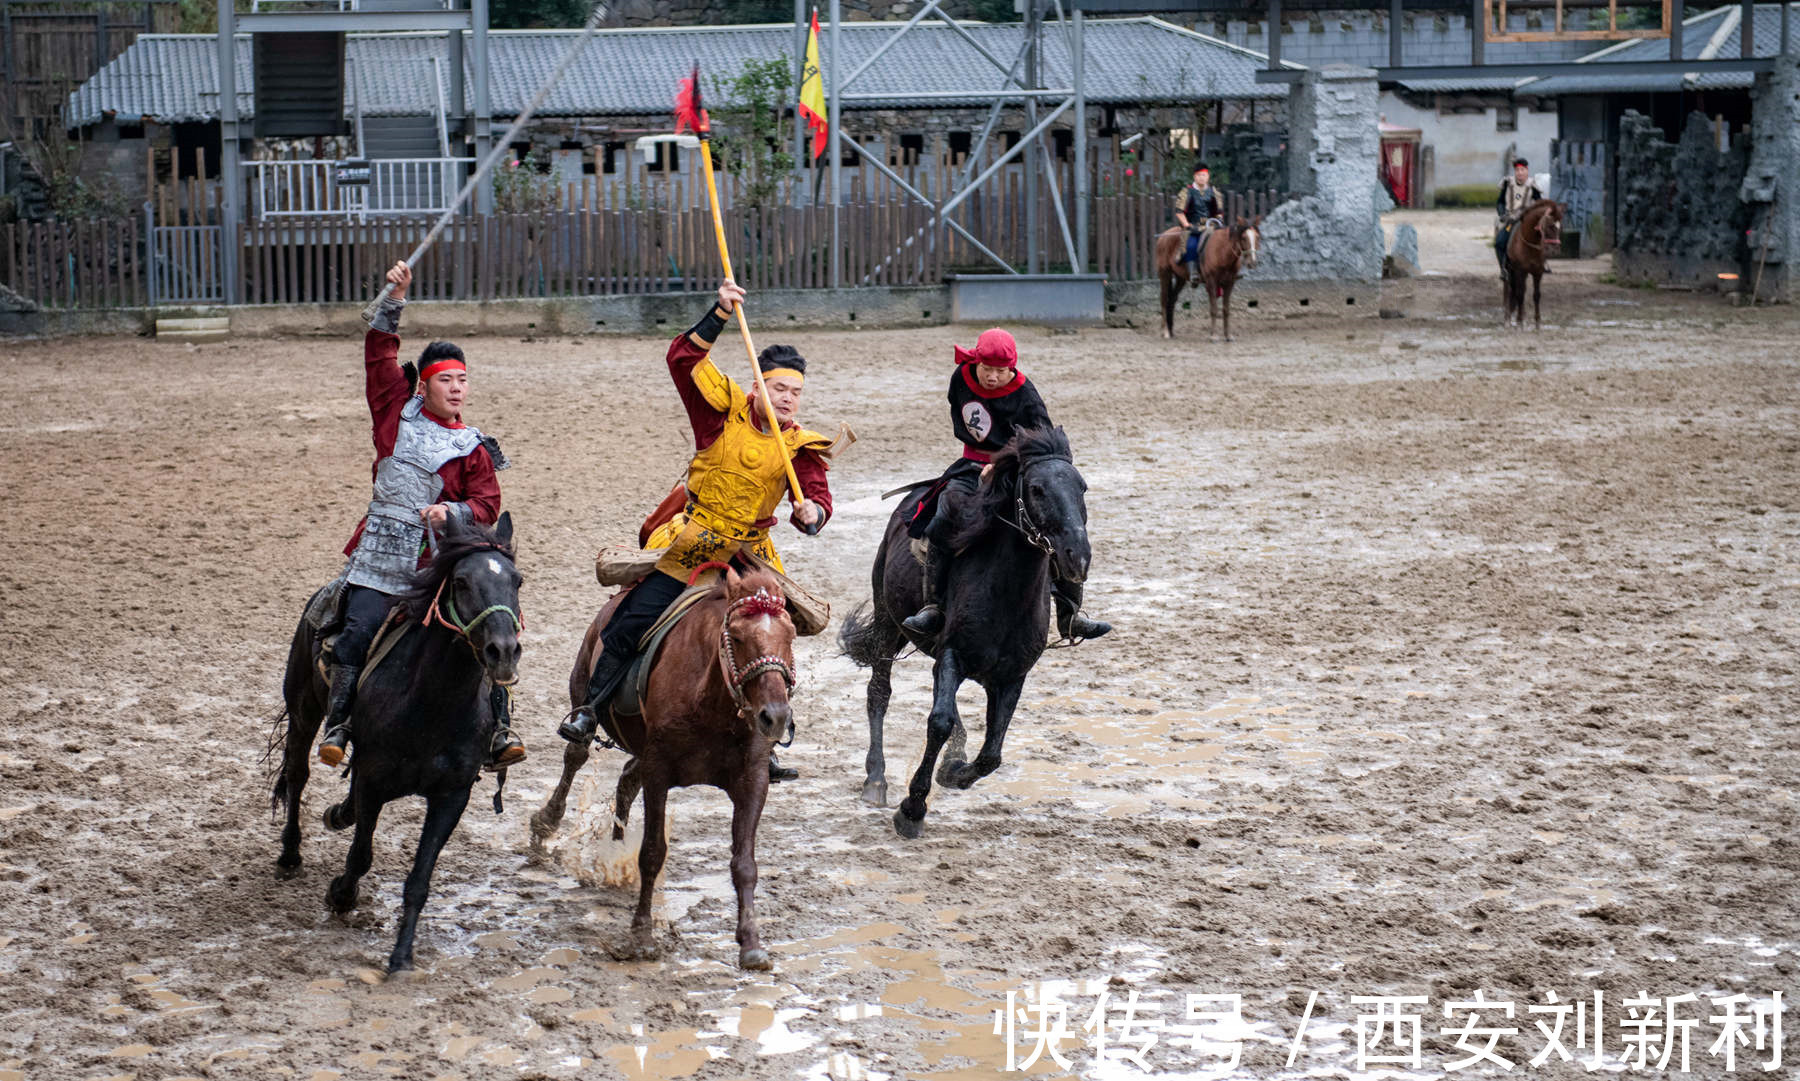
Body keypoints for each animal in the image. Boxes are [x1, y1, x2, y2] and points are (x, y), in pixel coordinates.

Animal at [266, 510, 525, 971]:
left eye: (518, 581)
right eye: (461, 581)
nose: (504, 651)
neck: (432, 704)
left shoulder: (451, 796)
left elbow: (419, 879)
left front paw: (402, 956)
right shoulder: (373, 780)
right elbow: (360, 855)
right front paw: (340, 894)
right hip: (303, 710)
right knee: (297, 774)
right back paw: (290, 855)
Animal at [525, 564, 795, 971]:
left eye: (791, 636)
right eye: (737, 637)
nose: (775, 717)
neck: (711, 702)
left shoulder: (753, 780)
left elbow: (744, 863)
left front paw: (751, 943)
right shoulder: (659, 771)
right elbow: (652, 852)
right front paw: (641, 936)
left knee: (626, 779)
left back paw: (615, 850)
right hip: (582, 691)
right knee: (576, 755)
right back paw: (547, 822)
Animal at [838, 426, 1087, 838]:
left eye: (1081, 487)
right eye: (1036, 489)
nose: (1078, 557)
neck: (1006, 594)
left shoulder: (1012, 675)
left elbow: (991, 753)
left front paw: (954, 771)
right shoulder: (953, 654)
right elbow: (938, 723)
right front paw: (912, 809)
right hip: (888, 621)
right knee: (879, 693)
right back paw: (876, 779)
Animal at [1504, 196, 1562, 327]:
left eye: (1560, 226)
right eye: (1550, 226)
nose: (1555, 250)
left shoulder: (1537, 272)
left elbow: (1536, 295)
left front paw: (1537, 322)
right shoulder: (1520, 271)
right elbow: (1520, 294)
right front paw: (1519, 321)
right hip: (1510, 271)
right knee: (1509, 289)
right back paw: (1508, 318)